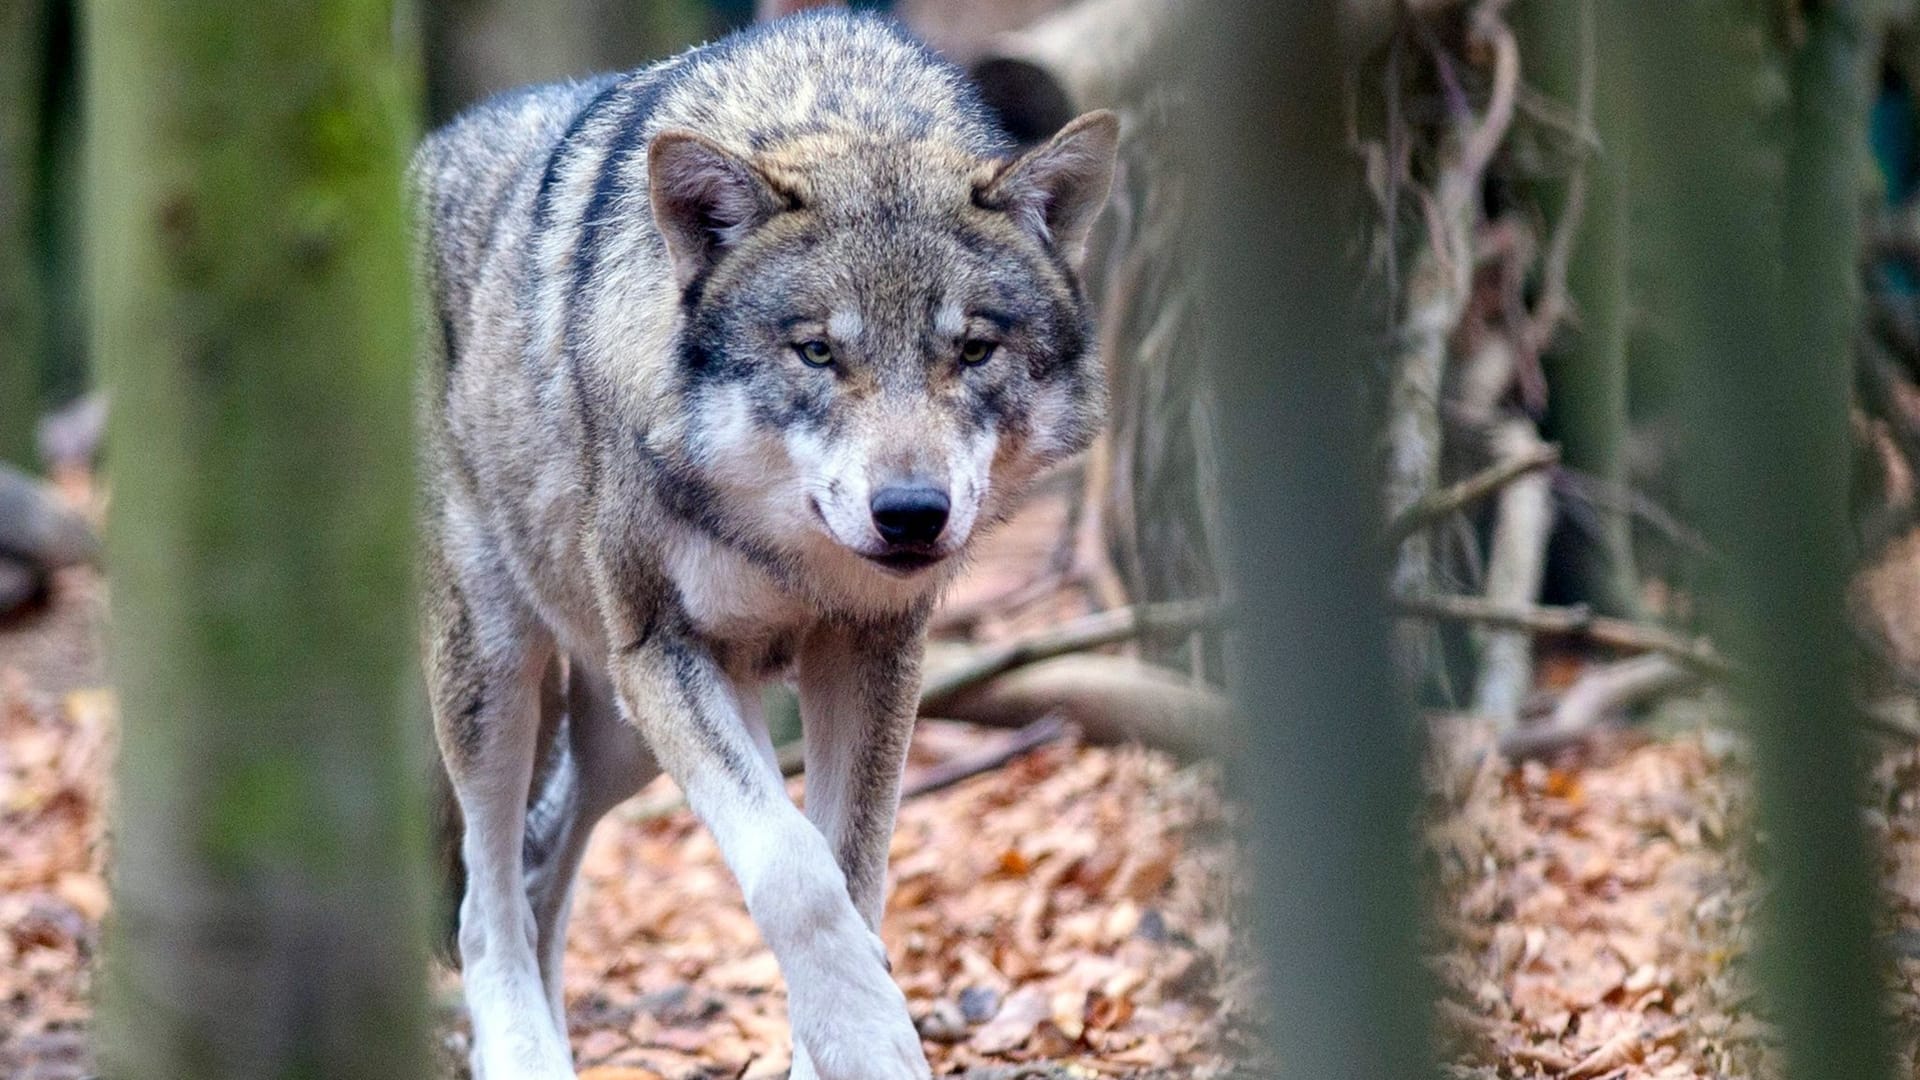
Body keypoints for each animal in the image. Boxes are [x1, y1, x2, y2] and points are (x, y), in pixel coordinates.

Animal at [412, 10, 1121, 1076]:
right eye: (818, 351)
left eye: (972, 350)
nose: (911, 513)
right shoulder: (668, 651)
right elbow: (794, 869)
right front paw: (871, 1041)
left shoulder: (871, 650)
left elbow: (851, 872)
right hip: (503, 674)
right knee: (483, 902)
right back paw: (524, 1053)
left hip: (616, 732)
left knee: (540, 872)